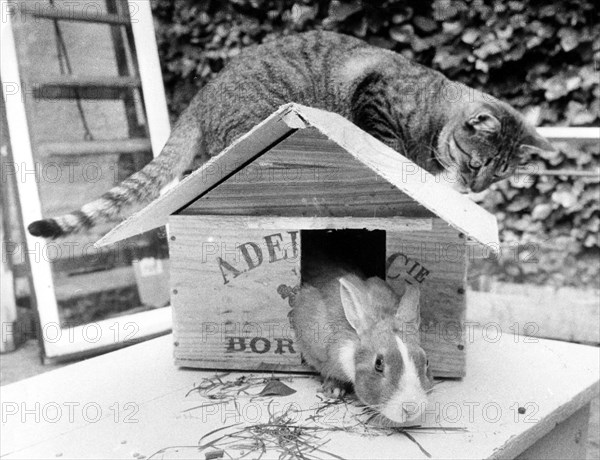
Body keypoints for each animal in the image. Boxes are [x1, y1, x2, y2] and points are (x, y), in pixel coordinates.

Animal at [28, 29, 552, 237]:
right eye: (477, 162)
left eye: (498, 175)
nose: (475, 188)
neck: (434, 113)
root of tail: (201, 95)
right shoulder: (376, 100)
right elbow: (385, 144)